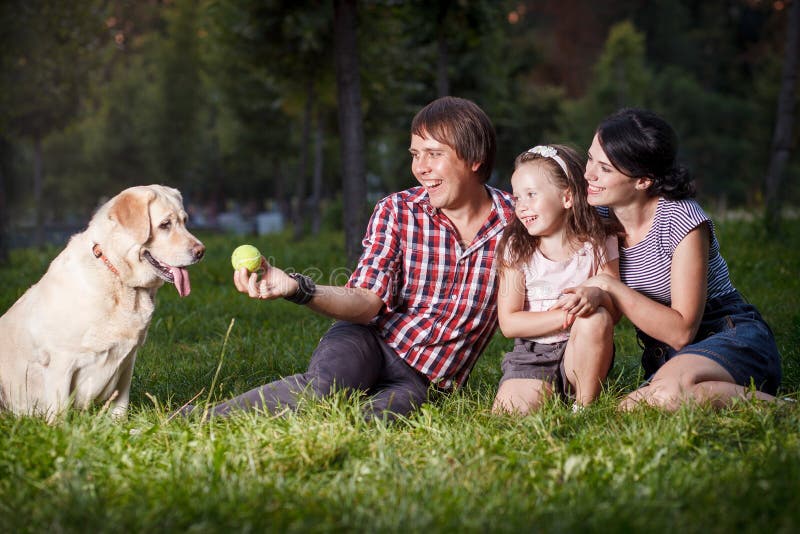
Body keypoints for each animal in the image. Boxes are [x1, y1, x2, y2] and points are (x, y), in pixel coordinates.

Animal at [0, 184, 206, 422]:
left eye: (185, 221)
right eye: (165, 224)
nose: (201, 252)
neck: (119, 277)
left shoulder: (128, 361)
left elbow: (121, 406)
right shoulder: (60, 362)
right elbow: (60, 412)